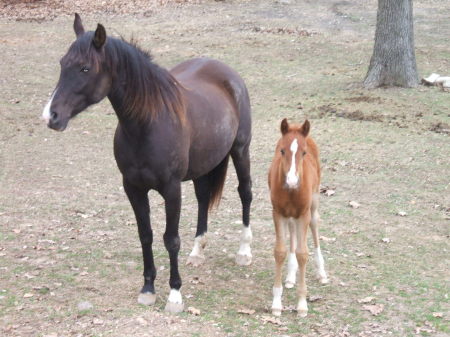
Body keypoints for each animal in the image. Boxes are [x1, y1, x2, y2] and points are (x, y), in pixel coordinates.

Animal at [42, 13, 253, 312]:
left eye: (84, 68)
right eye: (62, 64)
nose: (51, 116)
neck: (147, 124)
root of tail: (226, 72)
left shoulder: (171, 189)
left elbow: (171, 240)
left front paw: (175, 294)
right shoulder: (133, 188)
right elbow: (146, 235)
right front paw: (148, 288)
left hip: (240, 150)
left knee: (245, 192)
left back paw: (244, 252)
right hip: (204, 165)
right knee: (203, 198)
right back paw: (197, 251)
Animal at [268, 118, 326, 316]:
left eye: (304, 152)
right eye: (282, 150)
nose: (292, 181)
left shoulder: (304, 214)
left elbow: (303, 253)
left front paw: (302, 304)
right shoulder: (278, 213)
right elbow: (279, 252)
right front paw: (277, 304)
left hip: (313, 203)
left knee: (315, 226)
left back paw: (322, 273)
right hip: (289, 215)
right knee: (292, 231)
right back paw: (290, 276)